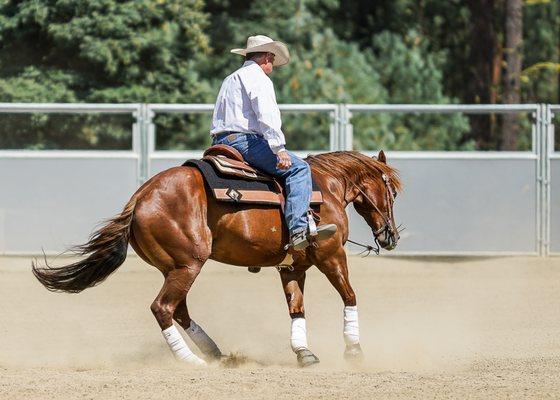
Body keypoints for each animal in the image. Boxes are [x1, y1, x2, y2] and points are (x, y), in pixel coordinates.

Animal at [31, 151, 398, 368]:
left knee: (178, 310)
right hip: (189, 264)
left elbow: (297, 308)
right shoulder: (331, 254)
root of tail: (141, 196)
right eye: (392, 192)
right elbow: (350, 295)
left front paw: (303, 352)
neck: (327, 187)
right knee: (163, 308)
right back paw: (191, 361)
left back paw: (214, 352)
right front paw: (354, 350)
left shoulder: (292, 267)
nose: (390, 236)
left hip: (174, 268)